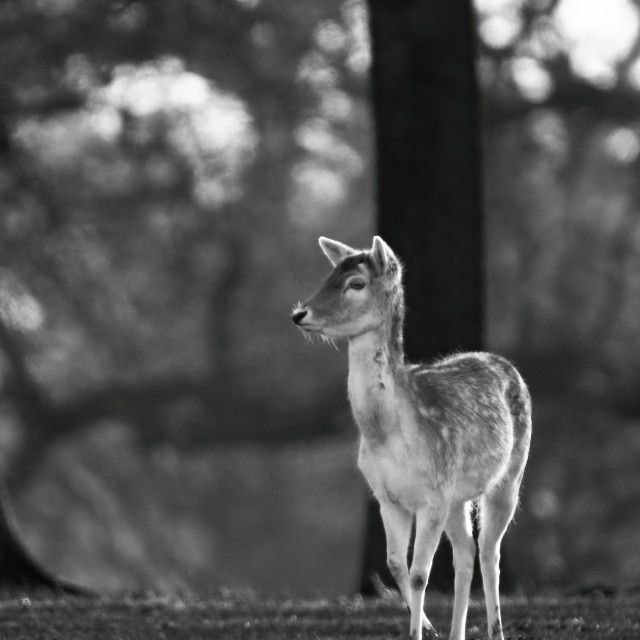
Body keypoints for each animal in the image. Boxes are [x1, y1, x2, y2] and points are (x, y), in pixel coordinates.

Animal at [292, 236, 532, 640]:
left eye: (356, 283)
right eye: (330, 273)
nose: (299, 313)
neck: (388, 435)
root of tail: (504, 363)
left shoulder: (432, 495)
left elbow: (421, 574)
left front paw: (420, 630)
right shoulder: (387, 497)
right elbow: (394, 564)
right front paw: (429, 628)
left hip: (510, 474)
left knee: (489, 551)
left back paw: (496, 630)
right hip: (456, 499)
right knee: (466, 552)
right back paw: (456, 633)